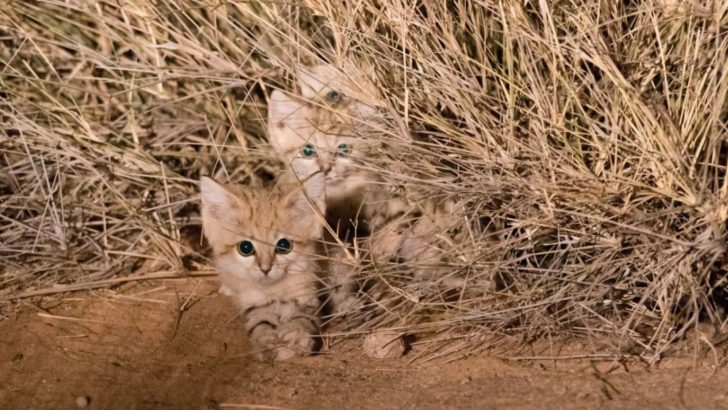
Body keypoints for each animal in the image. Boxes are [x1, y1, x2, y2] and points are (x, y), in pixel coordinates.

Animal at [199, 175, 324, 360]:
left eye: (284, 245)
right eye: (245, 248)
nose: (265, 269)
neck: (274, 289)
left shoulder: (307, 294)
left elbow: (303, 317)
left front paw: (296, 335)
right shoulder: (253, 303)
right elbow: (259, 321)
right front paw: (265, 341)